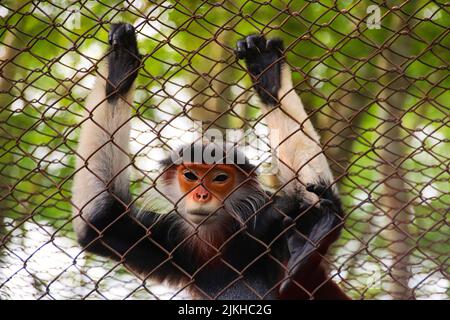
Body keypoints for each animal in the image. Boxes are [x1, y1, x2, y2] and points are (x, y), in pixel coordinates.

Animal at [73, 23, 348, 300]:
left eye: (219, 178)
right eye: (191, 176)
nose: (202, 195)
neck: (212, 238)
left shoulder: (264, 221)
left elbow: (308, 205)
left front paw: (270, 78)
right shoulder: (170, 240)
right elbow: (99, 221)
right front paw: (119, 69)